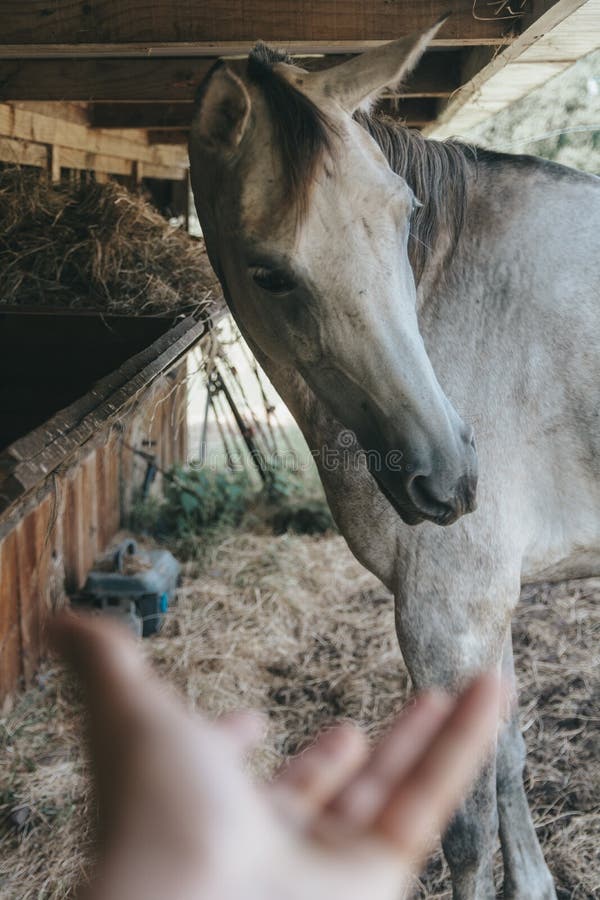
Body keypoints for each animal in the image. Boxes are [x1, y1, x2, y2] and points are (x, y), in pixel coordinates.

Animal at [189, 22, 600, 900]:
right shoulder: (480, 608)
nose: (447, 477)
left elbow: (464, 830)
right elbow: (505, 754)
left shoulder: (449, 610)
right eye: (269, 272)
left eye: (406, 214)